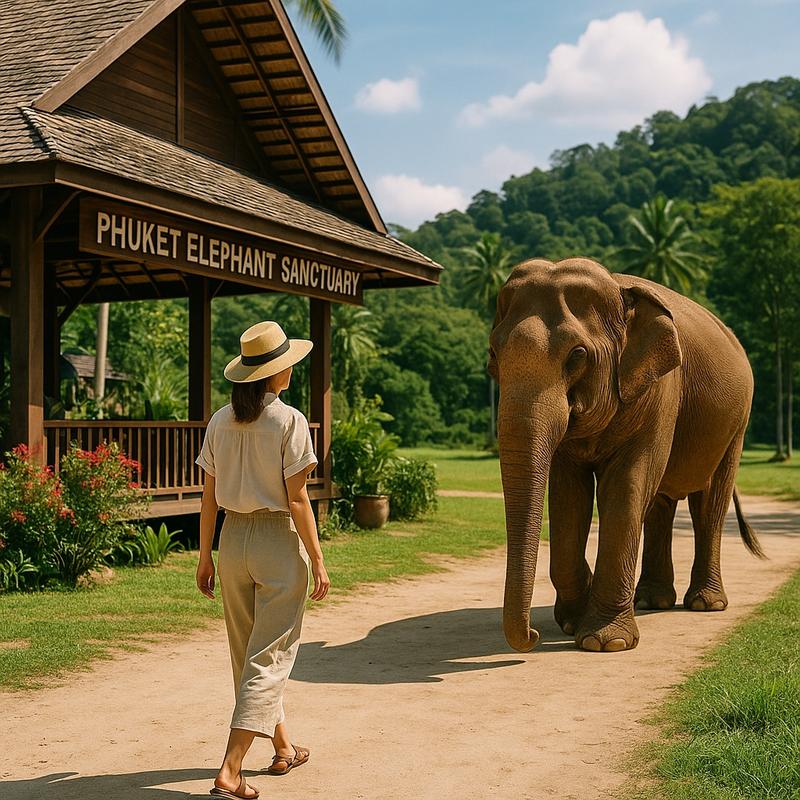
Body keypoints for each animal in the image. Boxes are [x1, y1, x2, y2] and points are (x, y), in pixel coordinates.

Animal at [488, 257, 763, 653]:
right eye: (493, 355)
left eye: (577, 355)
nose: (533, 636)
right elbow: (568, 495)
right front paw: (572, 621)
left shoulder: (661, 389)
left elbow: (626, 486)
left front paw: (605, 643)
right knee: (662, 503)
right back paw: (650, 601)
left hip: (737, 423)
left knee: (709, 502)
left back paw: (705, 604)